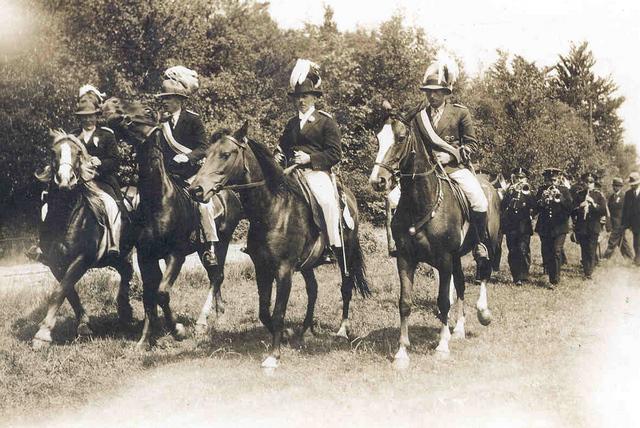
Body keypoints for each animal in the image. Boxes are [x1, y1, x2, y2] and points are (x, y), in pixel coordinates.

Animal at [30, 130, 138, 348]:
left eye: (78, 153)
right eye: (53, 152)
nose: (65, 180)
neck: (65, 216)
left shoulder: (81, 260)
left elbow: (59, 292)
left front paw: (43, 334)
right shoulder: (54, 263)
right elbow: (68, 292)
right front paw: (84, 325)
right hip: (118, 257)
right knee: (126, 273)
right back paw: (124, 312)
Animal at [101, 98, 244, 350]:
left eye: (148, 111)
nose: (112, 106)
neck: (157, 200)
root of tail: (230, 193)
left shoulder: (175, 255)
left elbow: (162, 293)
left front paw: (177, 330)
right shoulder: (145, 257)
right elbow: (149, 296)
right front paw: (144, 341)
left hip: (222, 242)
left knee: (217, 276)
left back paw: (206, 321)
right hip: (203, 249)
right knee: (214, 275)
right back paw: (218, 314)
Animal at [186, 121, 370, 368]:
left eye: (226, 154)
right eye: (206, 154)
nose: (195, 190)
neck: (273, 209)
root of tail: (349, 196)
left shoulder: (284, 270)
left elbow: (278, 312)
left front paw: (274, 356)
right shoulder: (262, 268)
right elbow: (265, 312)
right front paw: (285, 336)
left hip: (345, 255)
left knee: (346, 288)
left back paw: (341, 330)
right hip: (307, 265)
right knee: (313, 290)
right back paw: (304, 330)